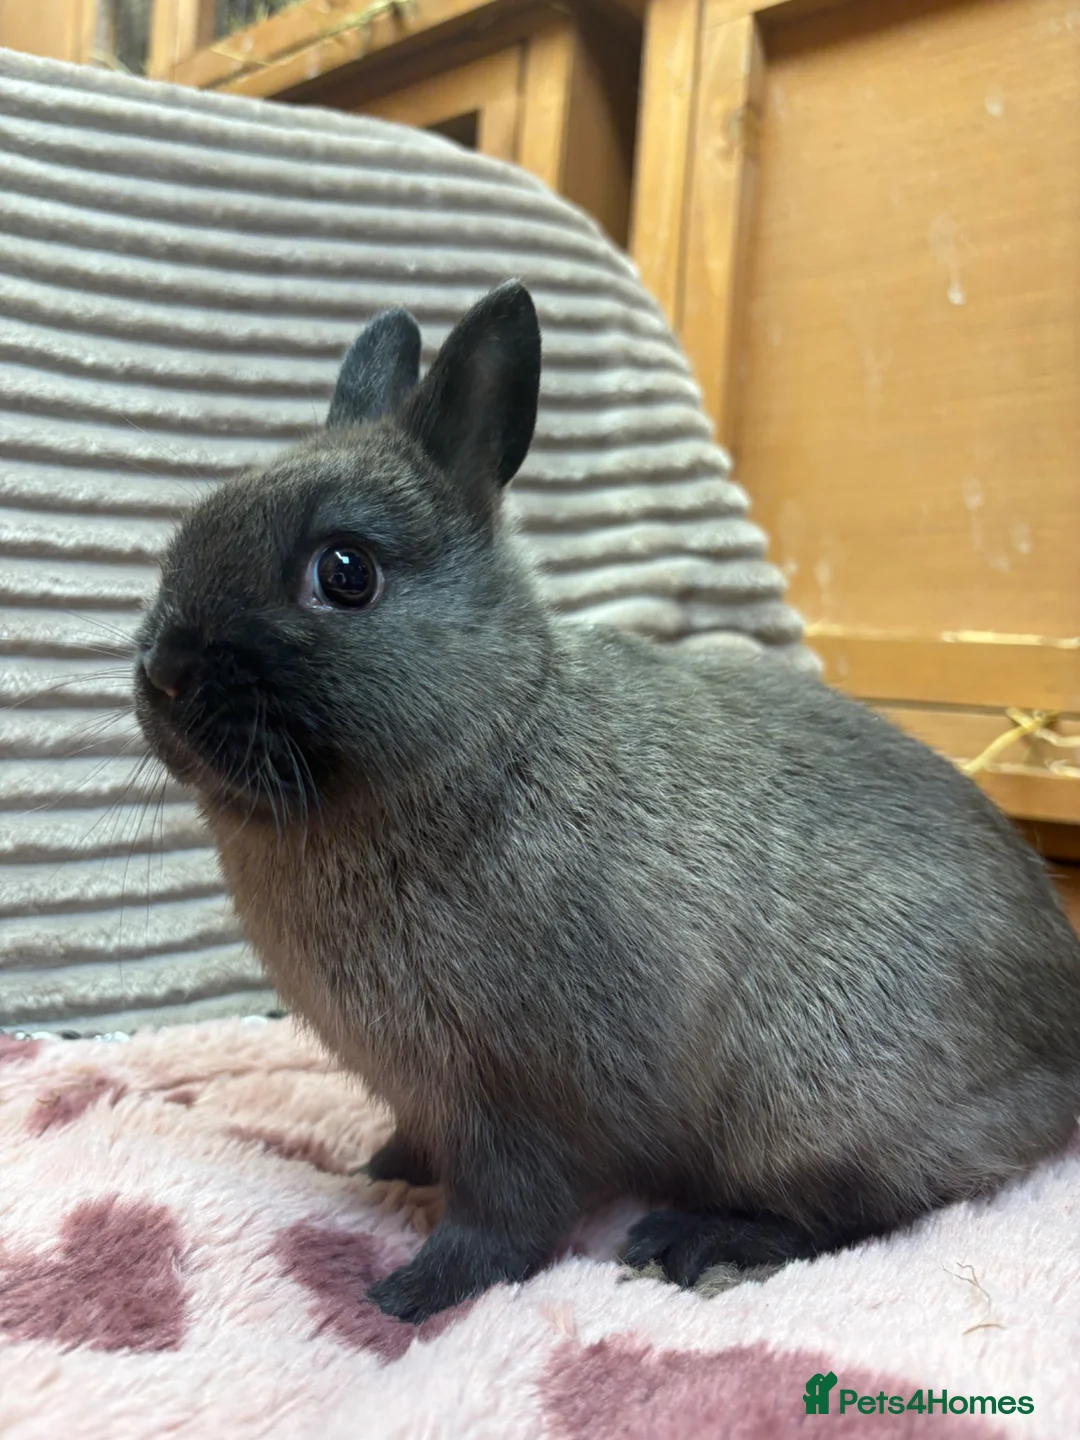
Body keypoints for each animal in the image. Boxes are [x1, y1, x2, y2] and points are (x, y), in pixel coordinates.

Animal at [134, 280, 1080, 1323]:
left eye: (345, 572)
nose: (165, 670)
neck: (486, 743)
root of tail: (1063, 1060)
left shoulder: (523, 1098)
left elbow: (505, 1219)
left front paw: (406, 1295)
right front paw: (377, 1171)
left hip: (813, 1115)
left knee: (867, 1214)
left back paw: (695, 1242)